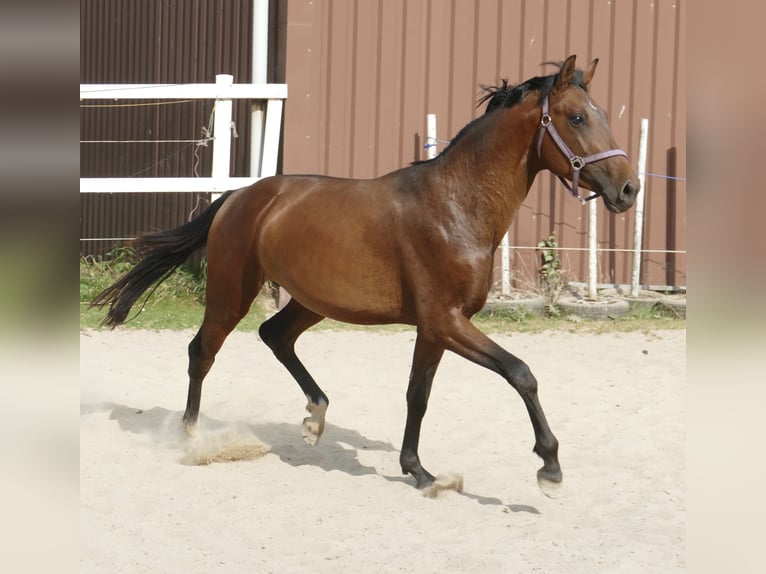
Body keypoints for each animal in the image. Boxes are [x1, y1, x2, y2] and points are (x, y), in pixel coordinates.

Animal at [91, 56, 640, 492]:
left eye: (602, 114)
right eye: (576, 117)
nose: (629, 188)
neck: (457, 206)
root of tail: (240, 195)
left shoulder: (435, 328)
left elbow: (418, 395)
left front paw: (419, 470)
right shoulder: (447, 321)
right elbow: (521, 373)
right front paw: (549, 468)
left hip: (312, 300)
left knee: (275, 336)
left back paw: (315, 418)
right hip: (231, 293)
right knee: (202, 351)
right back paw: (190, 437)